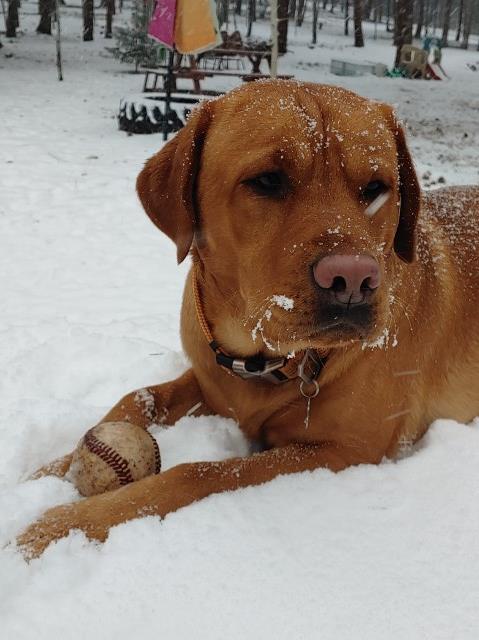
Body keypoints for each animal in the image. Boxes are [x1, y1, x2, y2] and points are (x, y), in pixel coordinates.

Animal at [15, 81, 479, 560]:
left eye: (376, 188)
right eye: (267, 181)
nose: (353, 279)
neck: (266, 361)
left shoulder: (346, 450)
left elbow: (198, 472)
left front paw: (65, 523)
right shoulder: (209, 376)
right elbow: (137, 398)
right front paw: (48, 472)